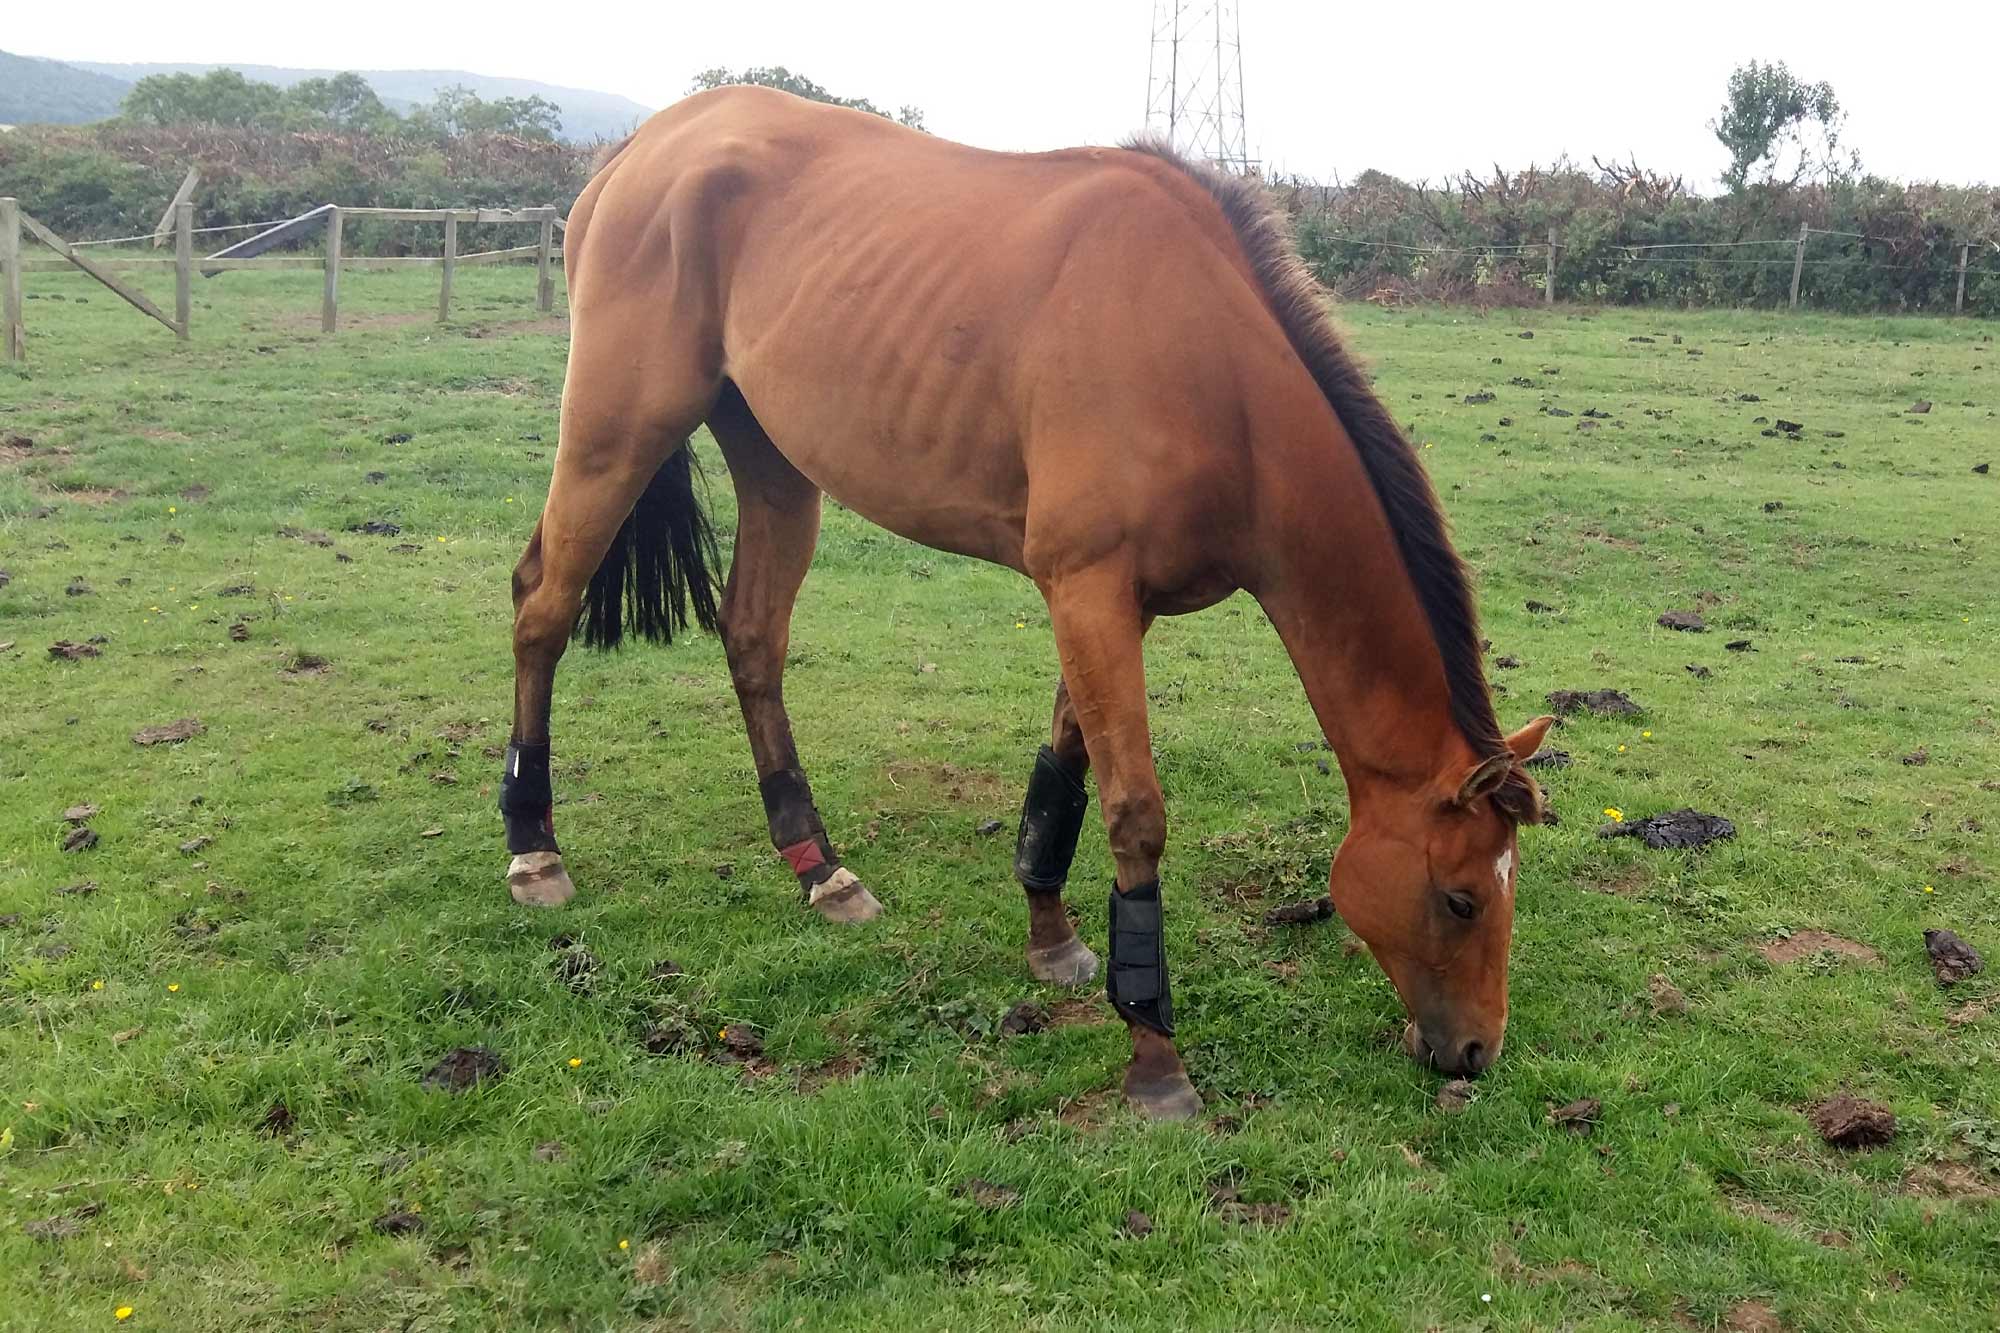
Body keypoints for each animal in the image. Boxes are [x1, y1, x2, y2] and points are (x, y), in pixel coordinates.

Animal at [496, 88, 1544, 1112]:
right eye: (1461, 896)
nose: (1476, 1051)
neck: (1213, 370)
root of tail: (646, 144)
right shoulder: (1086, 587)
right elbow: (1132, 811)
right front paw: (1155, 1057)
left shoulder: (1117, 603)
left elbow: (1063, 771)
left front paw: (1052, 937)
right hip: (614, 433)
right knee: (541, 610)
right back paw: (535, 849)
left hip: (777, 466)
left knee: (751, 637)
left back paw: (819, 867)